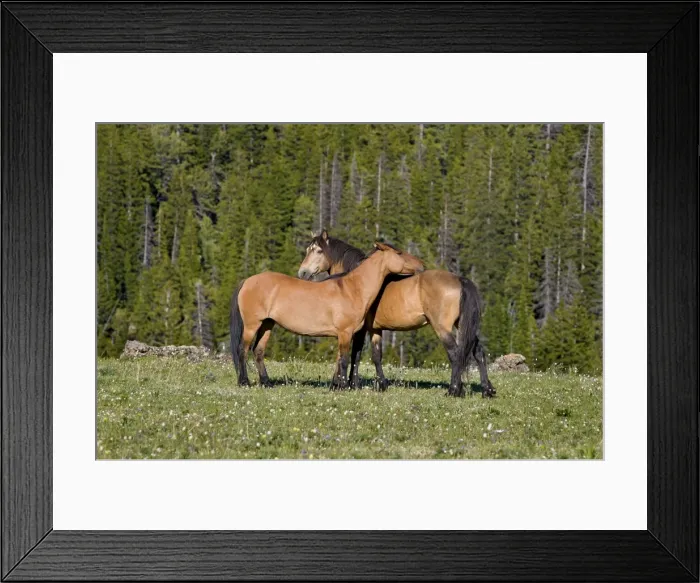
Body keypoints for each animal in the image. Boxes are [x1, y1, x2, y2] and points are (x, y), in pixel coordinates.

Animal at [230, 242, 425, 390]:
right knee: (242, 350)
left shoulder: (346, 334)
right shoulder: (345, 332)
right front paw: (344, 386)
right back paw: (244, 382)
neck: (353, 289)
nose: (422, 266)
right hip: (252, 325)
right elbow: (345, 360)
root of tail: (247, 281)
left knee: (258, 351)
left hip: (267, 324)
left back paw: (266, 382)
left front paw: (337, 385)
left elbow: (341, 359)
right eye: (399, 253)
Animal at [298, 231, 496, 398]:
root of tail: (460, 279)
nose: (302, 272)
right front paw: (380, 384)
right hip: (462, 325)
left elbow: (355, 354)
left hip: (442, 327)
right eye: (308, 250)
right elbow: (376, 356)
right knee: (478, 352)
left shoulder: (359, 330)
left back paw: (454, 390)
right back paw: (487, 390)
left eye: (318, 250)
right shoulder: (375, 329)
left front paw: (345, 383)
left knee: (455, 354)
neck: (356, 282)